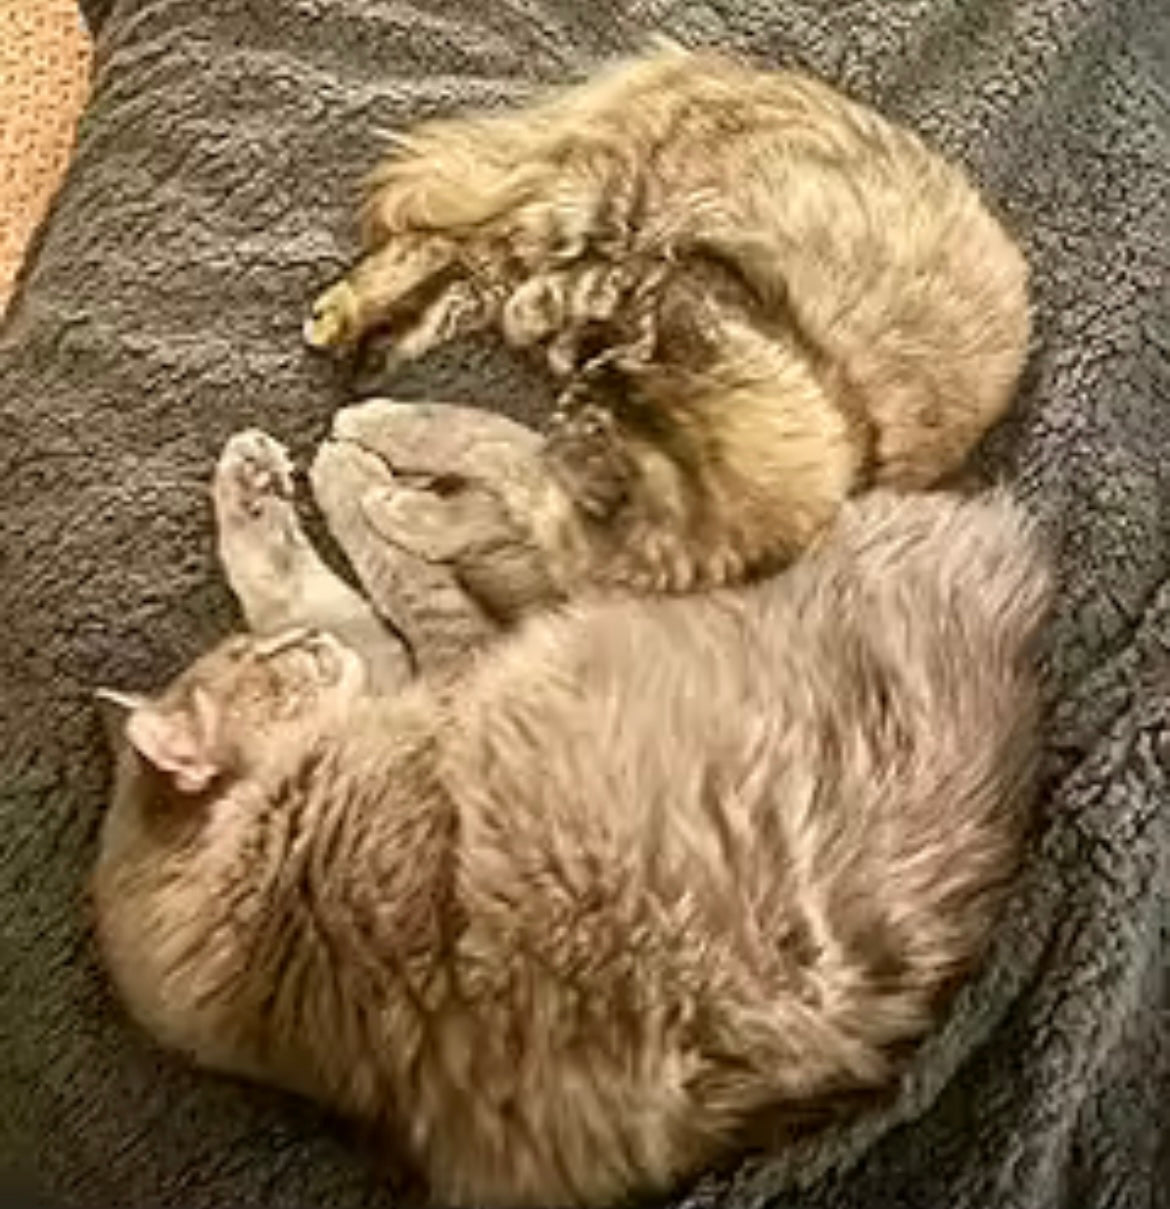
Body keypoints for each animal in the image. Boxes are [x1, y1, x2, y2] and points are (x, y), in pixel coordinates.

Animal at [93, 423, 1049, 1208]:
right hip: (622, 588)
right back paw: (379, 458)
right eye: (280, 661)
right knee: (531, 472)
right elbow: (353, 584)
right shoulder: (432, 665)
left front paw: (259, 489)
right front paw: (340, 494)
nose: (311, 653)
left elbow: (302, 581)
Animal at [304, 43, 1030, 602]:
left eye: (574, 409)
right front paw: (542, 323)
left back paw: (372, 346)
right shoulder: (674, 270)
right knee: (444, 238)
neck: (833, 398)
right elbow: (567, 295)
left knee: (461, 269)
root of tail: (720, 68)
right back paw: (342, 316)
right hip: (594, 208)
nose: (571, 367)